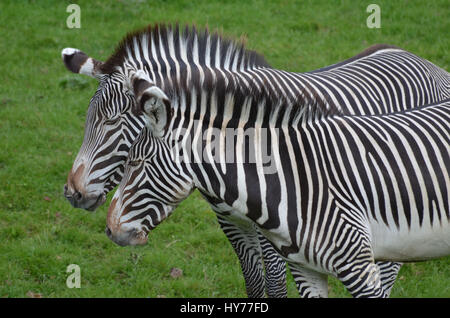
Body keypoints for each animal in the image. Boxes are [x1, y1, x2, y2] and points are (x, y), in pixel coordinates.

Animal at [62, 23, 450, 296]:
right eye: (87, 119)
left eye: (114, 122)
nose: (71, 194)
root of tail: (423, 61)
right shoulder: (232, 223)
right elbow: (253, 281)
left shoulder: (273, 230)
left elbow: (275, 286)